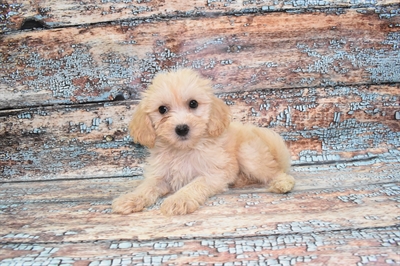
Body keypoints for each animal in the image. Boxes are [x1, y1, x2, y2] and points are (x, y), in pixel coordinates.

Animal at [112, 68, 294, 216]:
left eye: (193, 104)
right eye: (162, 109)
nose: (182, 128)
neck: (184, 149)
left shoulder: (214, 173)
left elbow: (195, 184)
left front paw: (178, 200)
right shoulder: (160, 175)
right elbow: (147, 186)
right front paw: (130, 198)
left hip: (249, 154)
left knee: (275, 171)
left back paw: (282, 183)